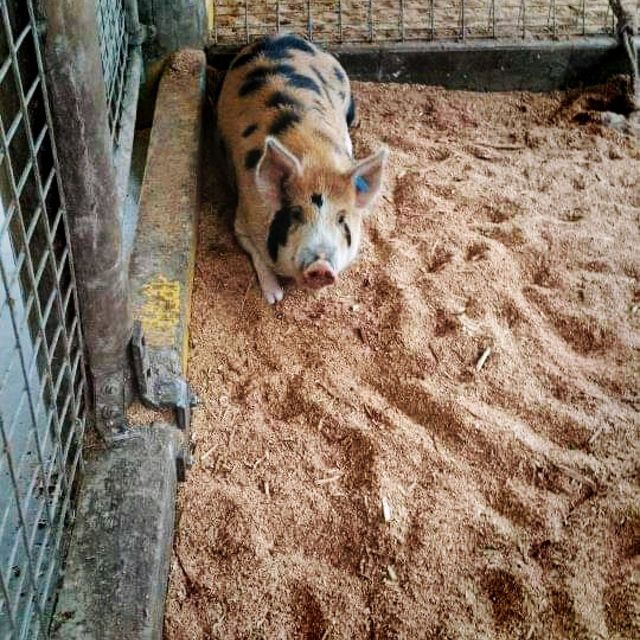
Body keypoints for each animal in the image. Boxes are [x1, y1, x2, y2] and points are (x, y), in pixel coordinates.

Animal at [216, 33, 384, 304]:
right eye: (295, 213)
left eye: (341, 218)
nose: (321, 267)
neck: (315, 157)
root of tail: (281, 34)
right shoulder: (241, 219)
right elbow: (257, 256)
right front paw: (274, 297)